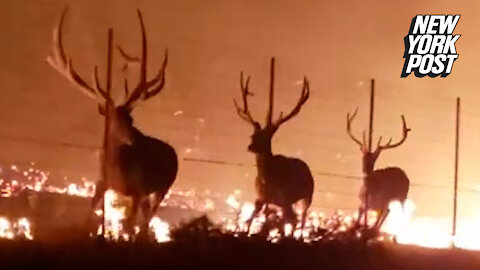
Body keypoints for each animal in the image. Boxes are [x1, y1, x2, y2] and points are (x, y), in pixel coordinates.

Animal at [46, 9, 178, 231]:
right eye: (113, 120)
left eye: (131, 118)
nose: (133, 138)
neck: (117, 170)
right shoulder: (101, 182)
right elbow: (89, 213)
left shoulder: (139, 188)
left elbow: (130, 225)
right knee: (145, 219)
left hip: (163, 188)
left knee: (147, 219)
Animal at [233, 57, 316, 232]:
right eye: (253, 135)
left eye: (267, 138)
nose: (250, 147)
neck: (268, 179)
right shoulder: (261, 199)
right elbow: (251, 220)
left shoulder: (285, 199)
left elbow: (284, 222)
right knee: (294, 220)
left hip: (308, 195)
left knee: (301, 219)